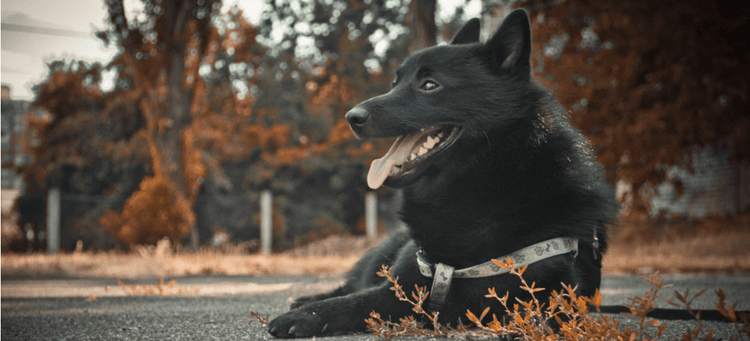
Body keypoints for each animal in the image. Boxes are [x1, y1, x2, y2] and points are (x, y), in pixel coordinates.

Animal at [268, 9, 620, 336]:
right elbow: (349, 302)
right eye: (395, 83)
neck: (477, 192)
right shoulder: (399, 288)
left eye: (429, 85)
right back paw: (304, 299)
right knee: (349, 285)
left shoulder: (557, 297)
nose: (351, 117)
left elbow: (542, 319)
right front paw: (305, 314)